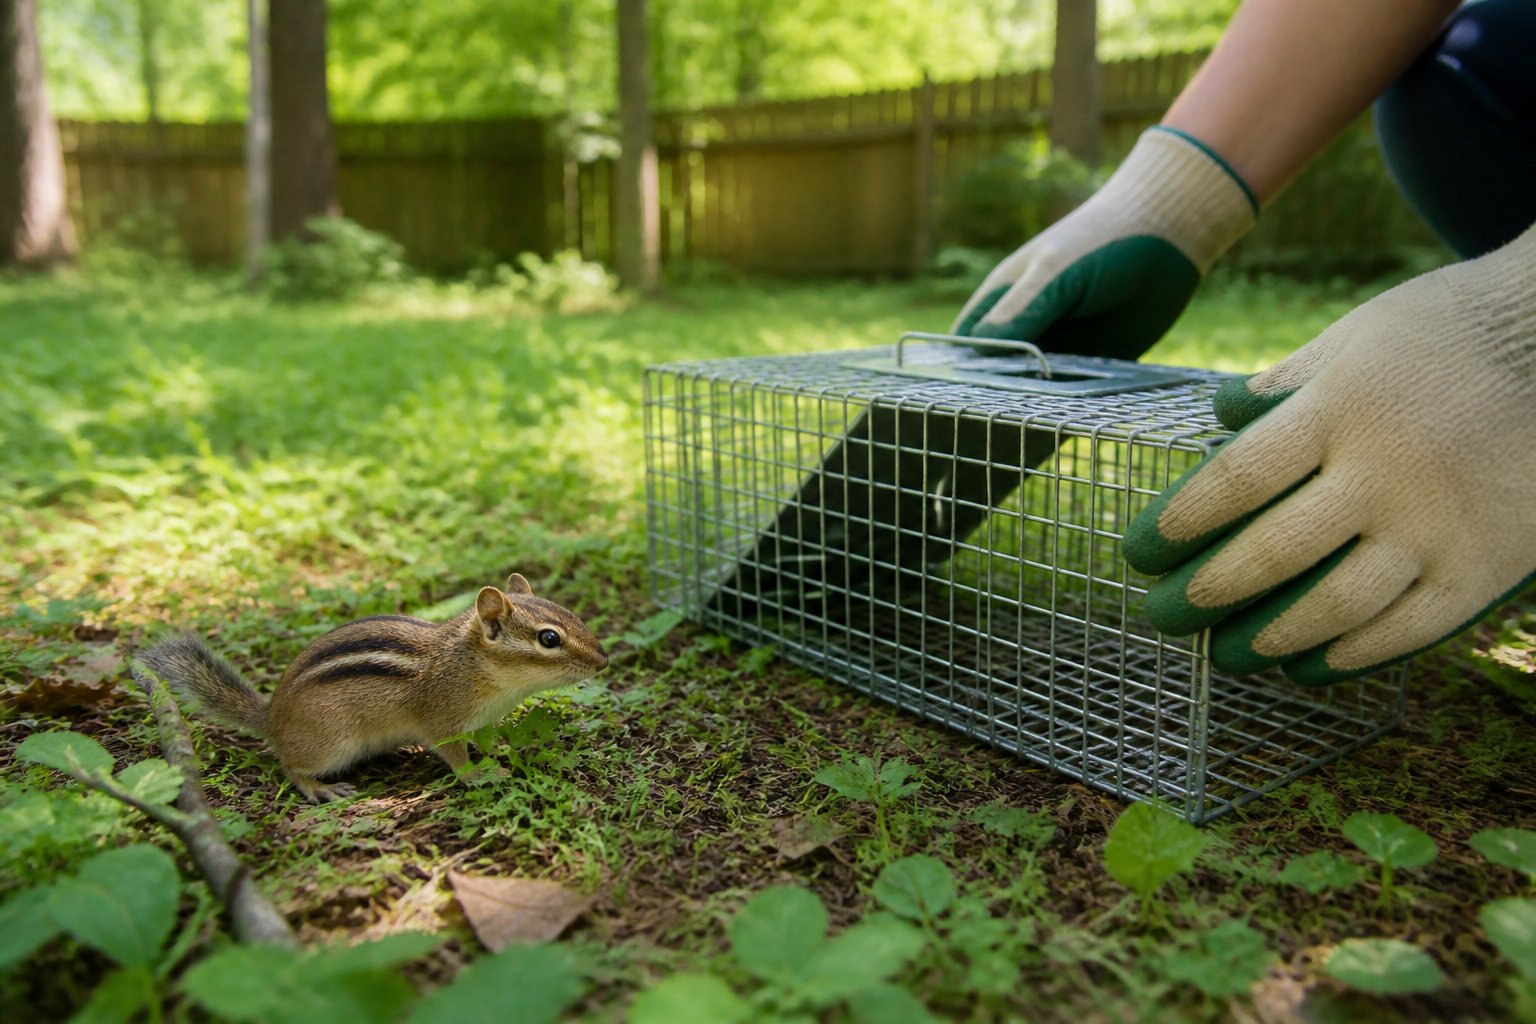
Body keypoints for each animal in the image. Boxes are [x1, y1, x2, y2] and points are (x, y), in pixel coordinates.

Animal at [138, 573, 608, 803]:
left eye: (569, 613)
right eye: (549, 639)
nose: (603, 660)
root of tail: (271, 717)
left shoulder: (482, 720)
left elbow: (488, 740)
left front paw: (503, 752)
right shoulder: (442, 721)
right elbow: (456, 756)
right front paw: (479, 774)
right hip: (330, 743)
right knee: (288, 765)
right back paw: (319, 787)